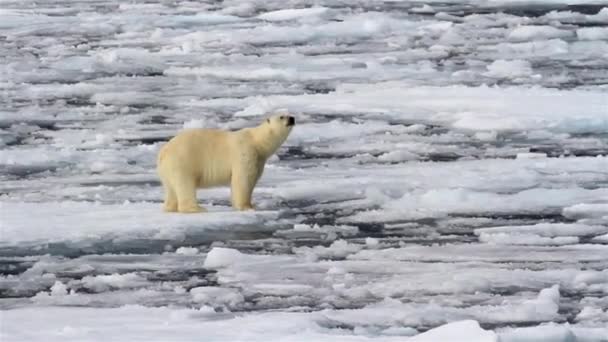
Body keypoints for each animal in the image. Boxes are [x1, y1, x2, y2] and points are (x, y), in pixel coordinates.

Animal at [157, 113, 294, 212]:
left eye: (289, 113)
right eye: (281, 116)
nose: (292, 118)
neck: (257, 142)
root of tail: (163, 152)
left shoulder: (259, 159)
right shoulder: (245, 153)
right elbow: (243, 180)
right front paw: (247, 207)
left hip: (167, 169)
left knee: (170, 188)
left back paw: (170, 207)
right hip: (183, 161)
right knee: (185, 184)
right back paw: (197, 208)